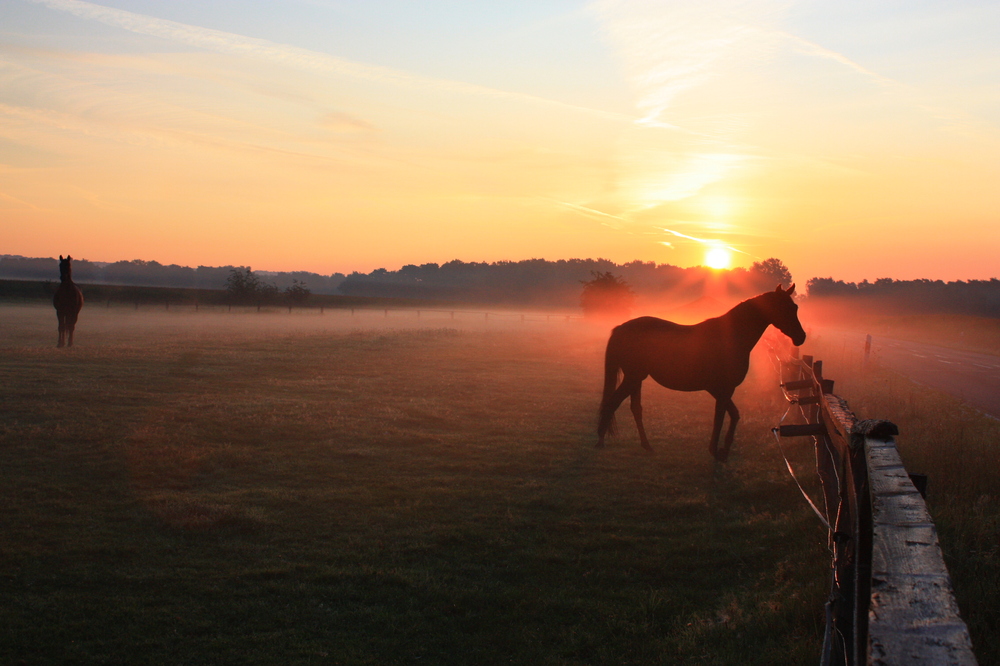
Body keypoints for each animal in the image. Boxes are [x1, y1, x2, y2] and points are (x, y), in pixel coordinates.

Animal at [596, 284, 808, 462]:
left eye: (795, 307)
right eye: (783, 308)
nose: (801, 337)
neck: (731, 336)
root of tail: (620, 328)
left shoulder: (718, 389)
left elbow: (734, 415)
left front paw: (723, 450)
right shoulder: (723, 388)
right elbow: (720, 417)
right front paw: (716, 451)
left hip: (636, 378)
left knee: (635, 409)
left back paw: (646, 446)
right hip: (633, 377)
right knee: (611, 404)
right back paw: (600, 442)